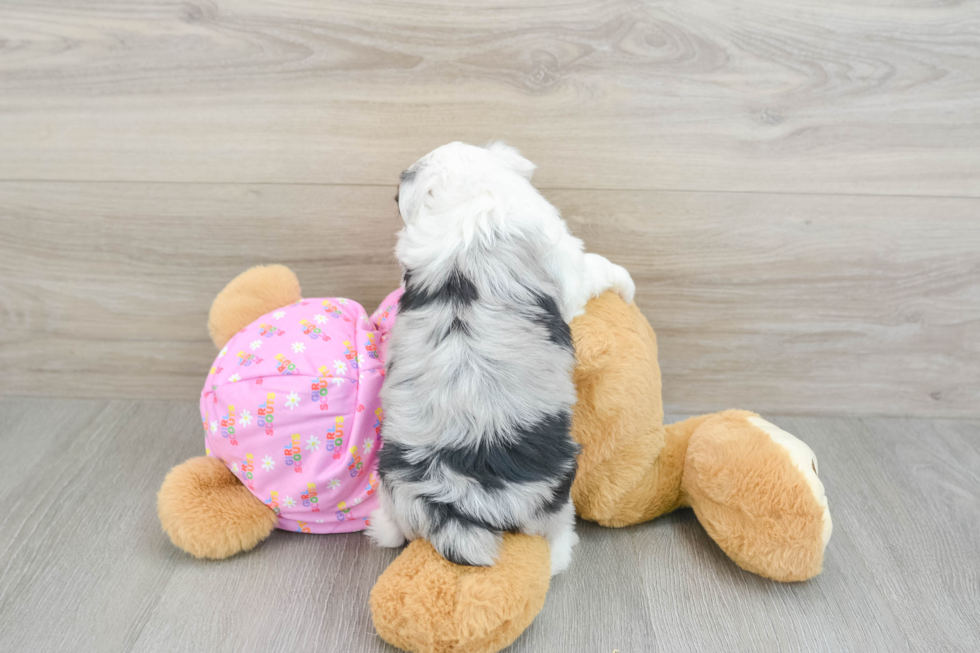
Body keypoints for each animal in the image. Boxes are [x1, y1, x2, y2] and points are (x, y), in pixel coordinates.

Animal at [368, 141, 636, 572]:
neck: (469, 200)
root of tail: (456, 503)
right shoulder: (568, 263)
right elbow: (596, 268)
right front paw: (626, 285)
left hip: (392, 486)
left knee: (392, 531)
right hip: (554, 492)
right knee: (555, 536)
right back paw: (563, 553)